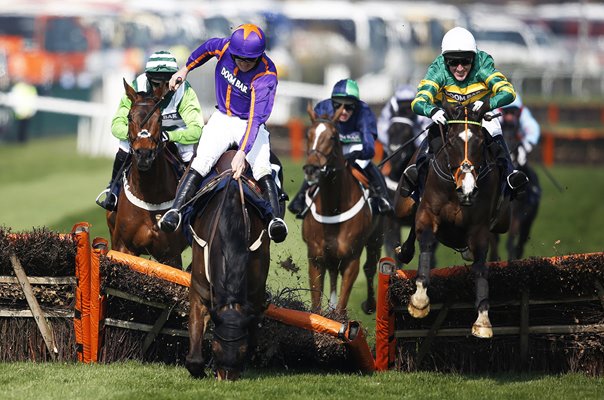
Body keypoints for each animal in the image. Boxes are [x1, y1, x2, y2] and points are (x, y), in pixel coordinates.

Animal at [105, 80, 186, 268]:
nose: (143, 154)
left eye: (160, 118)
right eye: (129, 117)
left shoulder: (171, 255)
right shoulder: (123, 247)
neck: (149, 196)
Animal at [184, 151, 268, 382]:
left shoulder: (256, 291)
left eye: (243, 351)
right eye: (215, 347)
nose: (226, 378)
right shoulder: (200, 290)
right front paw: (199, 368)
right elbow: (194, 350)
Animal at [300, 104, 382, 316]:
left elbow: (341, 308)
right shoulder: (316, 258)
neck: (333, 209)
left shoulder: (351, 259)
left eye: (332, 137)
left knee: (370, 268)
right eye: (308, 134)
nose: (311, 169)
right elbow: (316, 306)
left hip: (375, 240)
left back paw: (370, 304)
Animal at [396, 100, 510, 338]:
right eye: (450, 143)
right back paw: (404, 251)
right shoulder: (428, 213)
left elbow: (480, 267)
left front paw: (483, 320)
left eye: (480, 143)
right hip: (403, 204)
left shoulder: (479, 228)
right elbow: (426, 242)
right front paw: (419, 301)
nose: (467, 190)